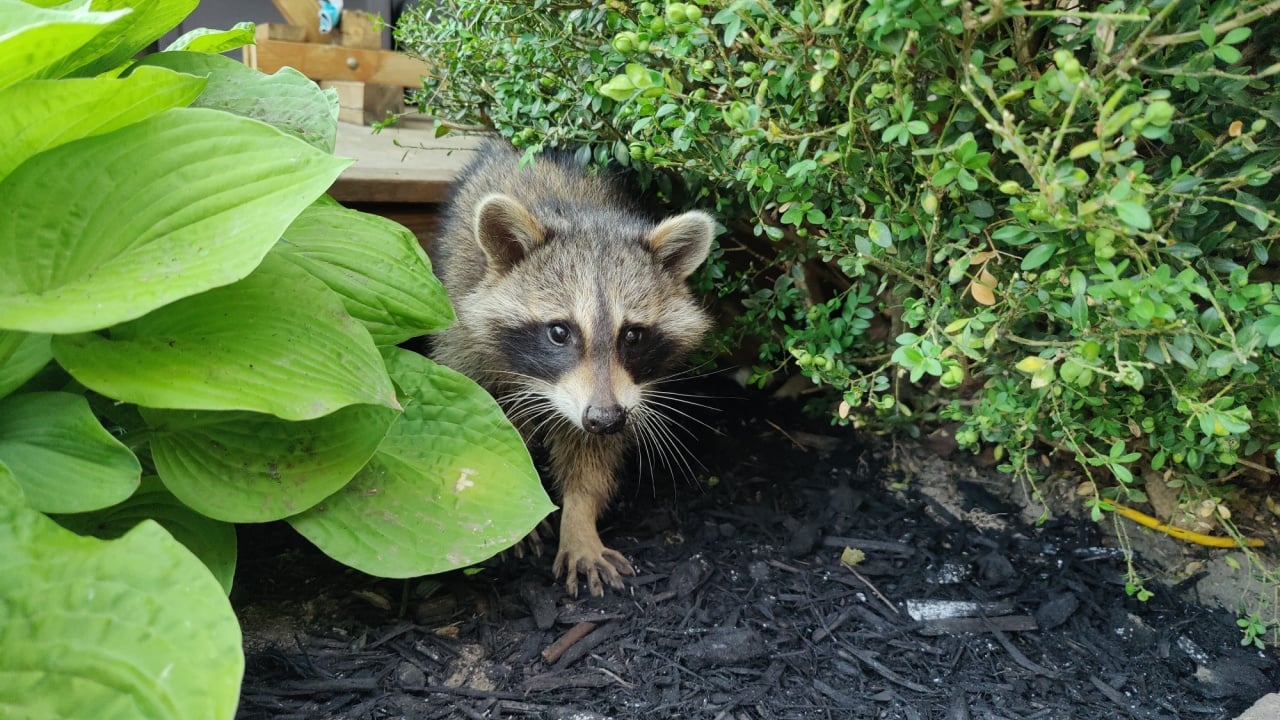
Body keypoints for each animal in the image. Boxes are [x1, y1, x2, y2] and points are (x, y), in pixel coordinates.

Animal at [431, 140, 716, 597]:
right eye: (559, 332)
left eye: (633, 335)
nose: (605, 418)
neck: (584, 218)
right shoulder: (467, 349)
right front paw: (516, 501)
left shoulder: (615, 401)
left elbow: (592, 456)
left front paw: (579, 518)